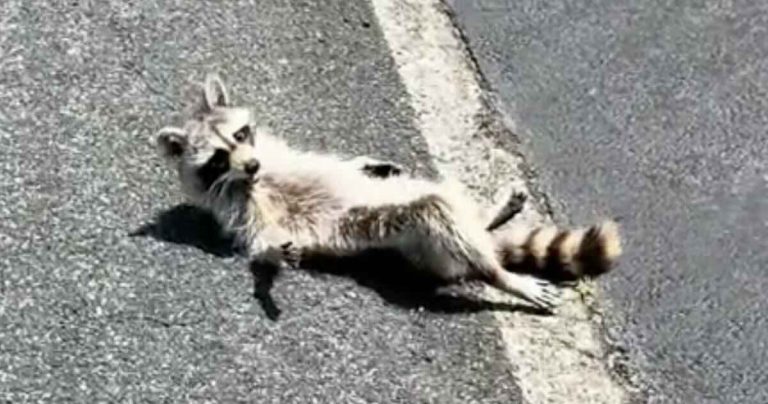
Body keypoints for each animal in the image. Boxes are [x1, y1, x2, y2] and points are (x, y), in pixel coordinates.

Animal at [154, 73, 622, 312]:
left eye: (240, 134)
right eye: (218, 158)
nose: (251, 166)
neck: (252, 179)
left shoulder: (278, 154)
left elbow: (330, 163)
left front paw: (363, 162)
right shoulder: (237, 209)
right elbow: (260, 243)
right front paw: (272, 255)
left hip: (420, 195)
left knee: (446, 200)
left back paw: (489, 218)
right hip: (418, 236)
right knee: (445, 221)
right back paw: (499, 274)